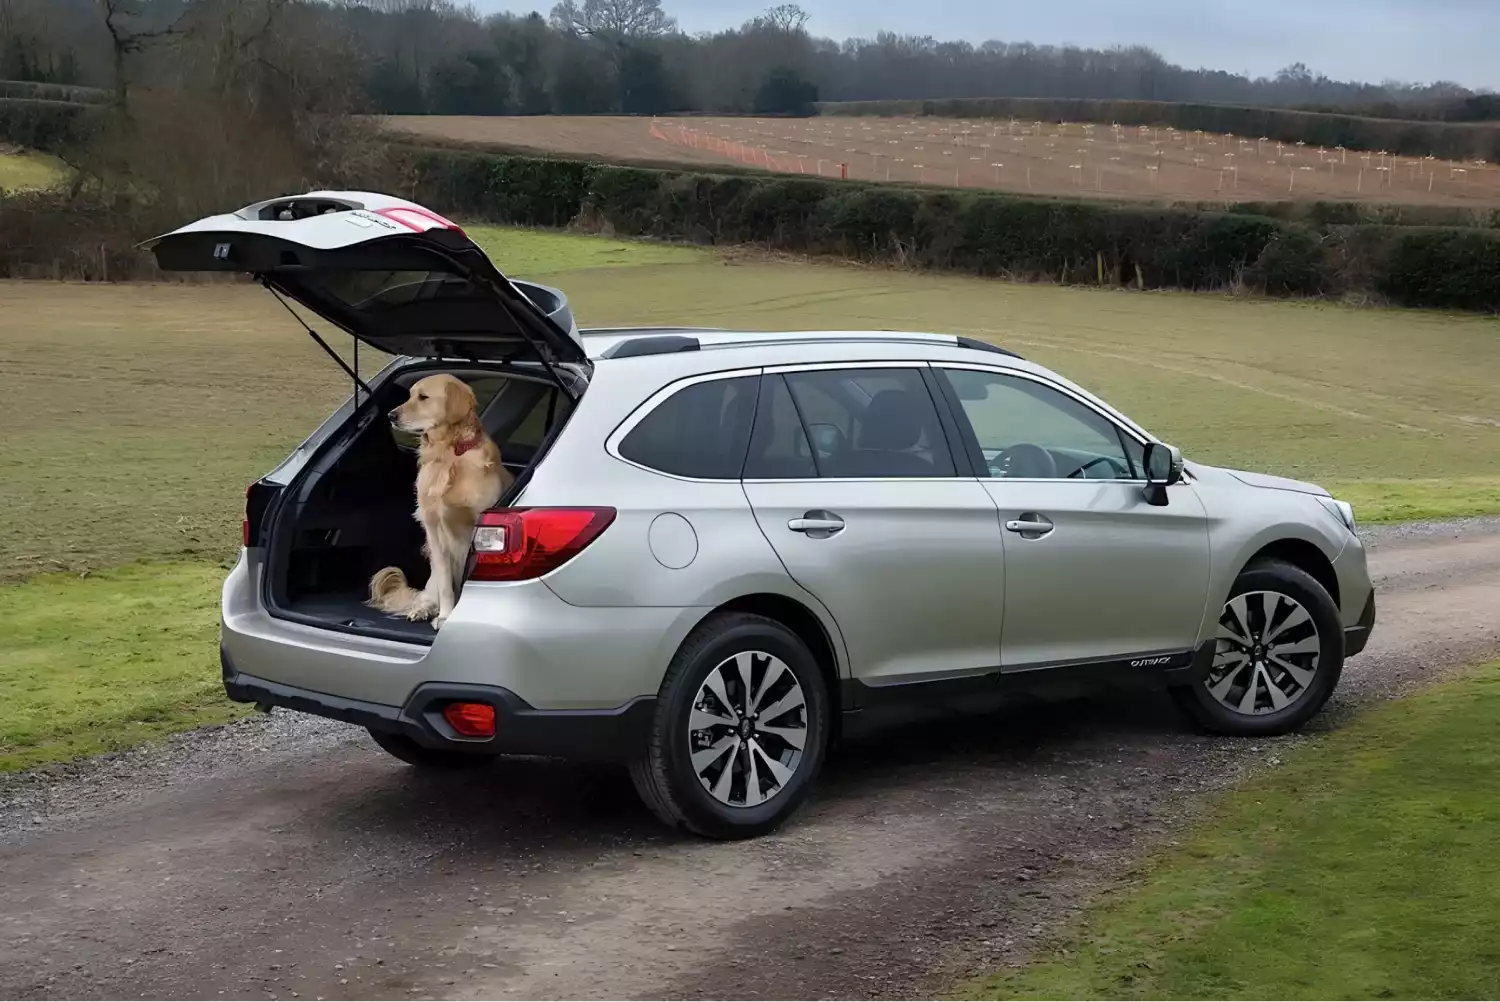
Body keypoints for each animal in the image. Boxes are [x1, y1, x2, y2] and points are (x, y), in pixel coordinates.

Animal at [366, 372, 513, 630]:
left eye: (423, 397)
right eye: (410, 395)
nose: (391, 415)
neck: (449, 454)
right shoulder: (435, 531)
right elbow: (446, 585)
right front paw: (445, 616)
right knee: (429, 596)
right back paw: (422, 610)